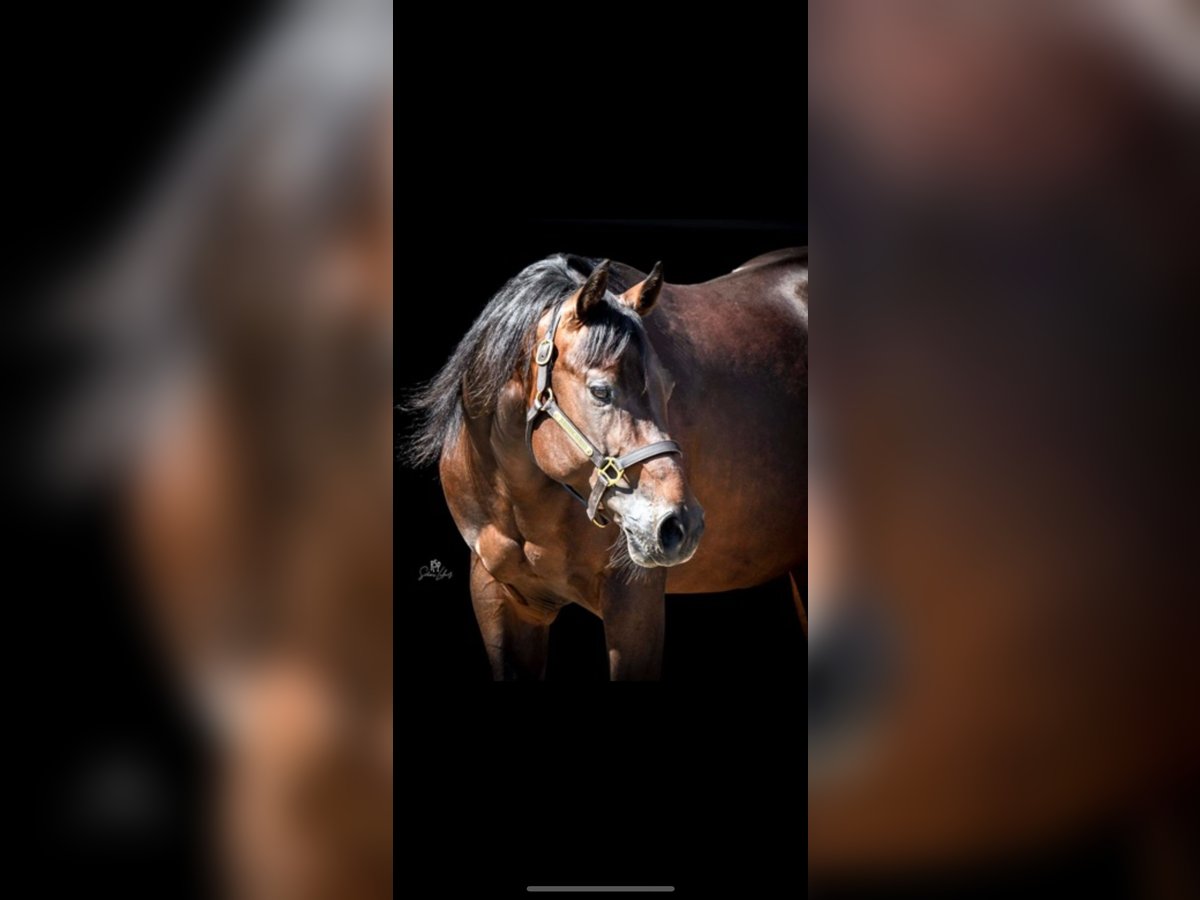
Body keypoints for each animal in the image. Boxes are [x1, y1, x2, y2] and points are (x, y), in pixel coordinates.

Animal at [406, 249, 807, 680]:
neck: (519, 500)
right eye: (600, 391)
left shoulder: (635, 601)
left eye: (668, 389)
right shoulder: (498, 598)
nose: (681, 525)